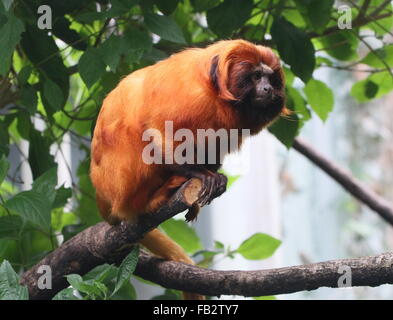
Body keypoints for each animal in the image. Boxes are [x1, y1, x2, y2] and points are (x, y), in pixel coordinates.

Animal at [89, 40, 284, 300]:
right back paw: (156, 197)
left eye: (271, 79)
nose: (267, 88)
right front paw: (200, 175)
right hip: (120, 181)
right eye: (256, 76)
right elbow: (156, 132)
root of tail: (101, 194)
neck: (216, 94)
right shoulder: (190, 98)